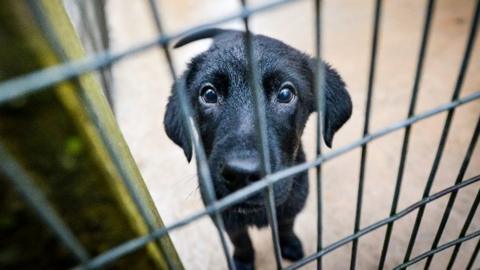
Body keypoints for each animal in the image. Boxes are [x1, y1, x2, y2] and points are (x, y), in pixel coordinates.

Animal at [163, 28, 350, 268]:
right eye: (209, 94)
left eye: (285, 94)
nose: (241, 174)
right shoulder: (224, 216)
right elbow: (240, 239)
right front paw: (243, 260)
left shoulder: (292, 203)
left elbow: (286, 226)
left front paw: (289, 245)